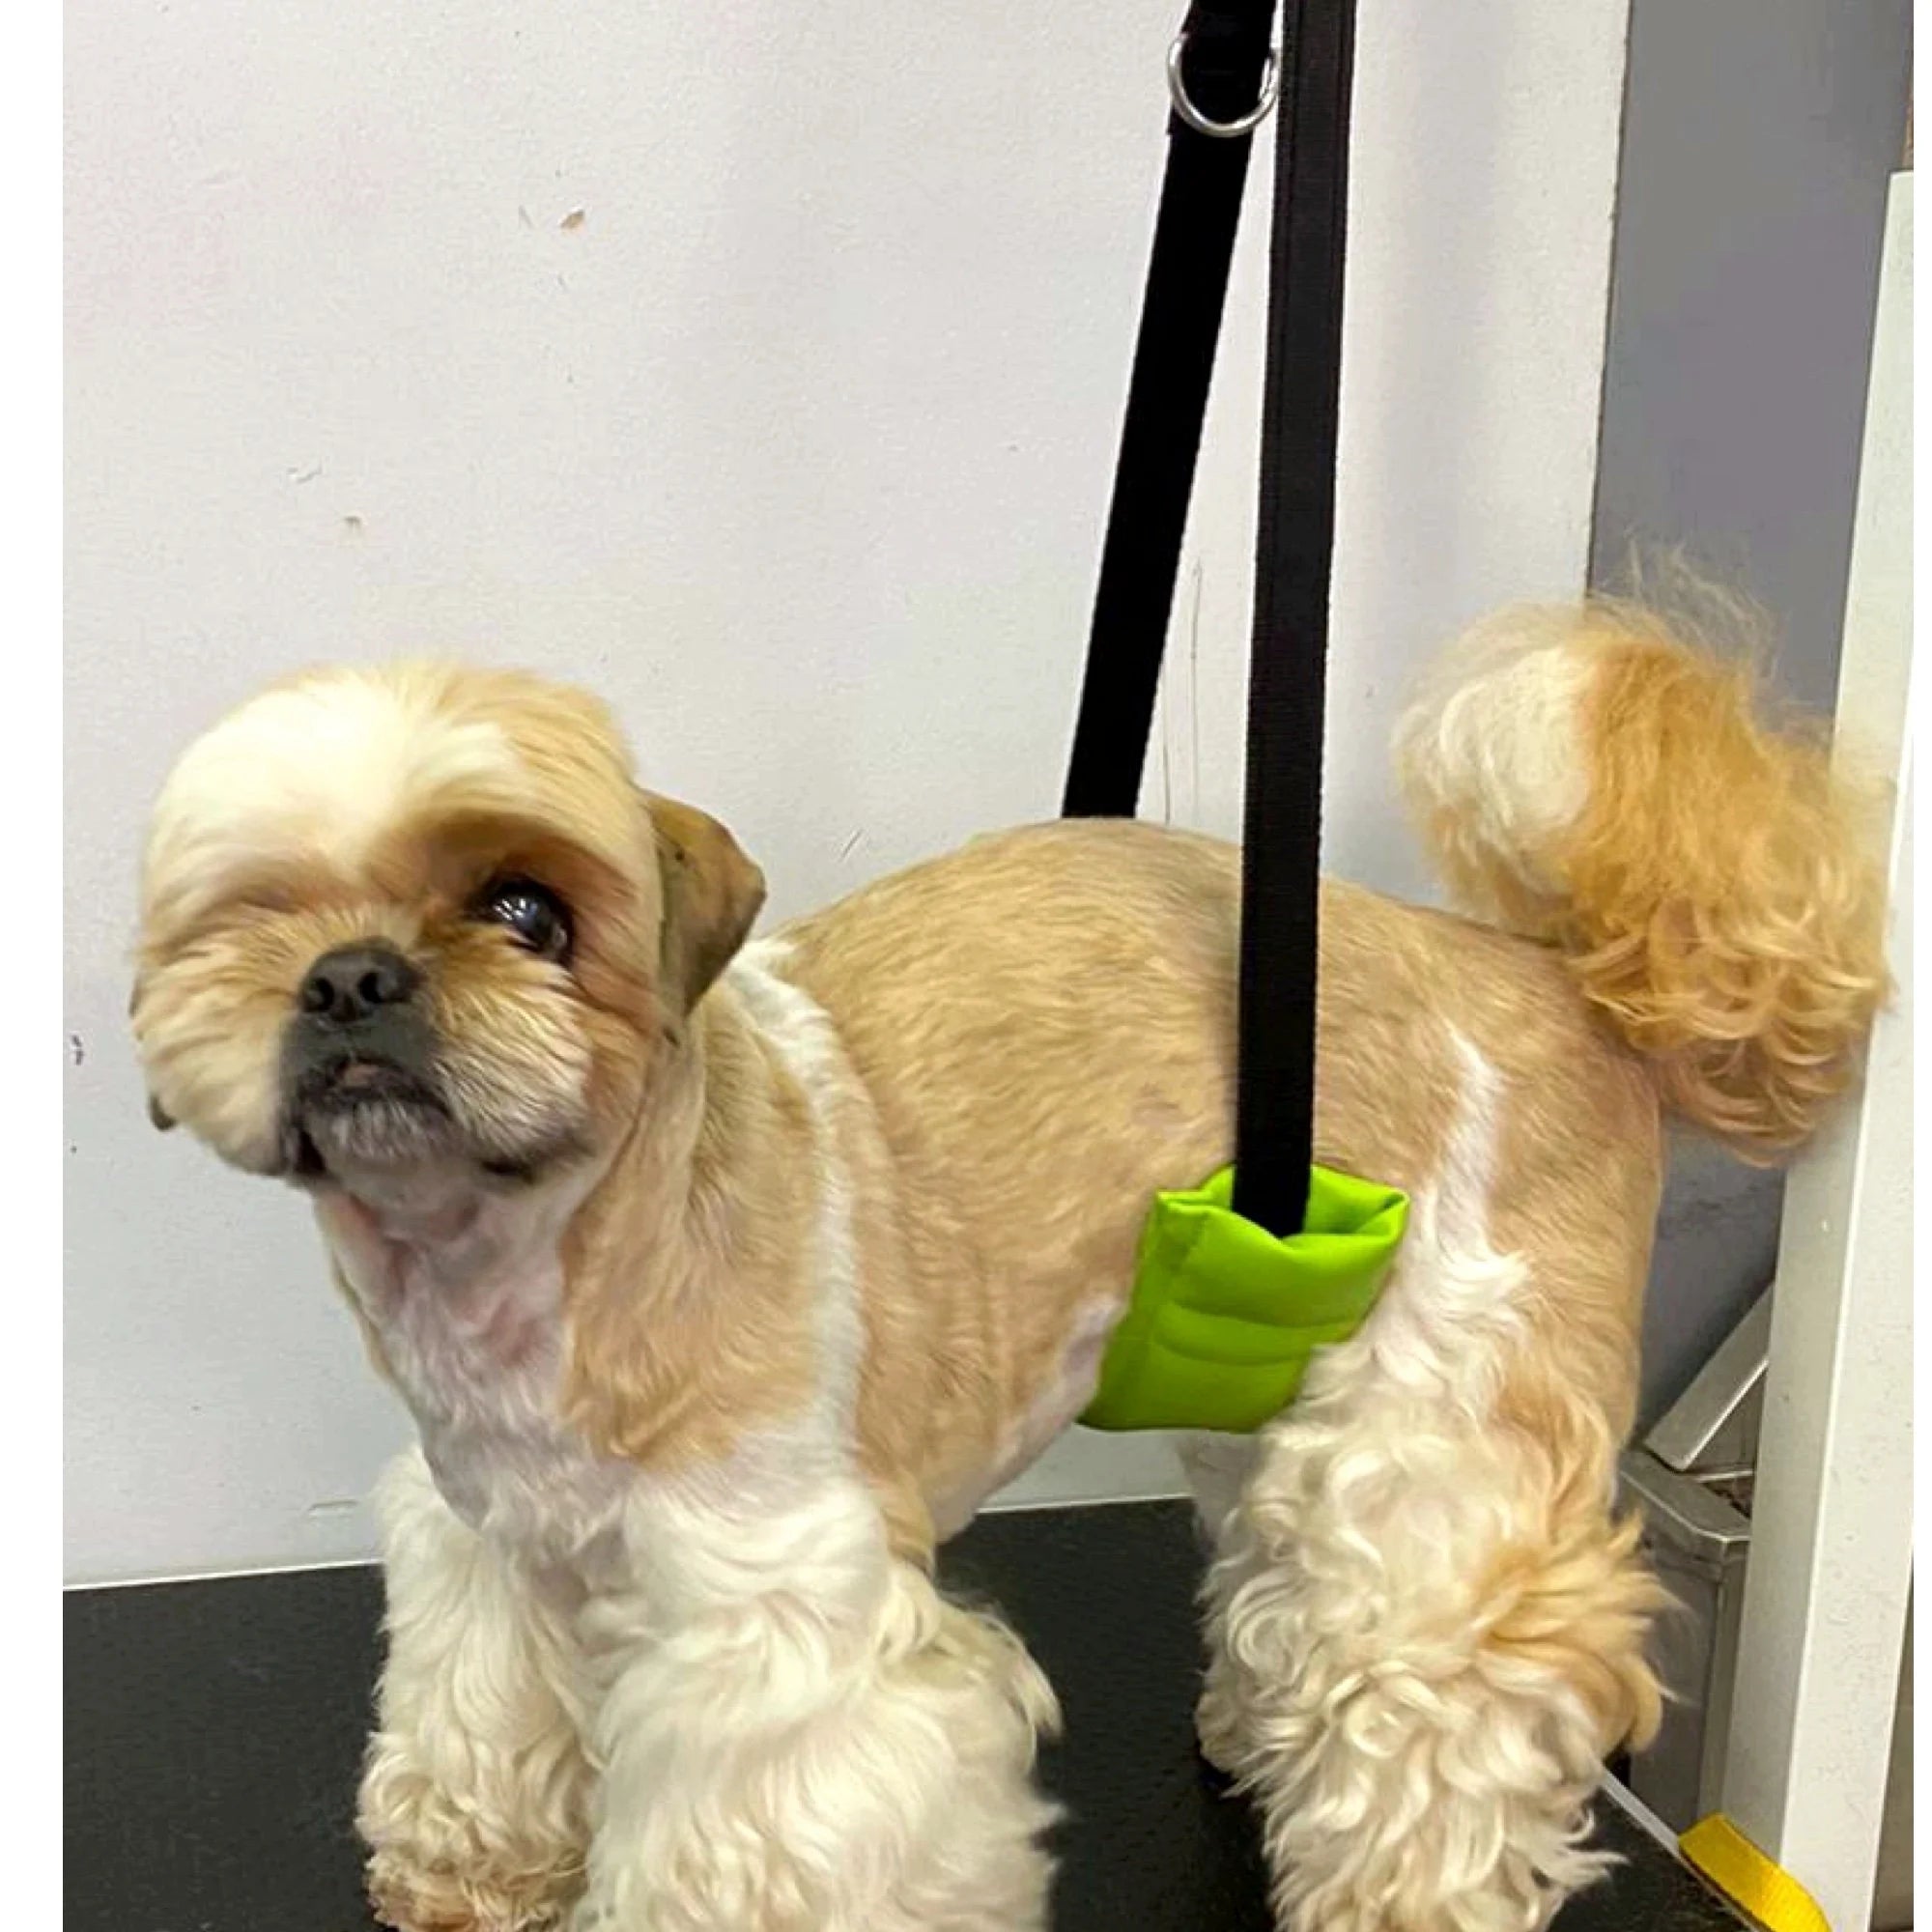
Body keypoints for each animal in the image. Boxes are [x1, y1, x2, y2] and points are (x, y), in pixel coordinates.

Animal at [131, 599, 1884, 1932]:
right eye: (251, 913)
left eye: (527, 910)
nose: (351, 975)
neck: (541, 1262)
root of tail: (1548, 982)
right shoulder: (489, 1536)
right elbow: (478, 1718)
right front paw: (469, 1872)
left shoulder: (785, 1640)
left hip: (1441, 1449)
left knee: (1437, 1700)